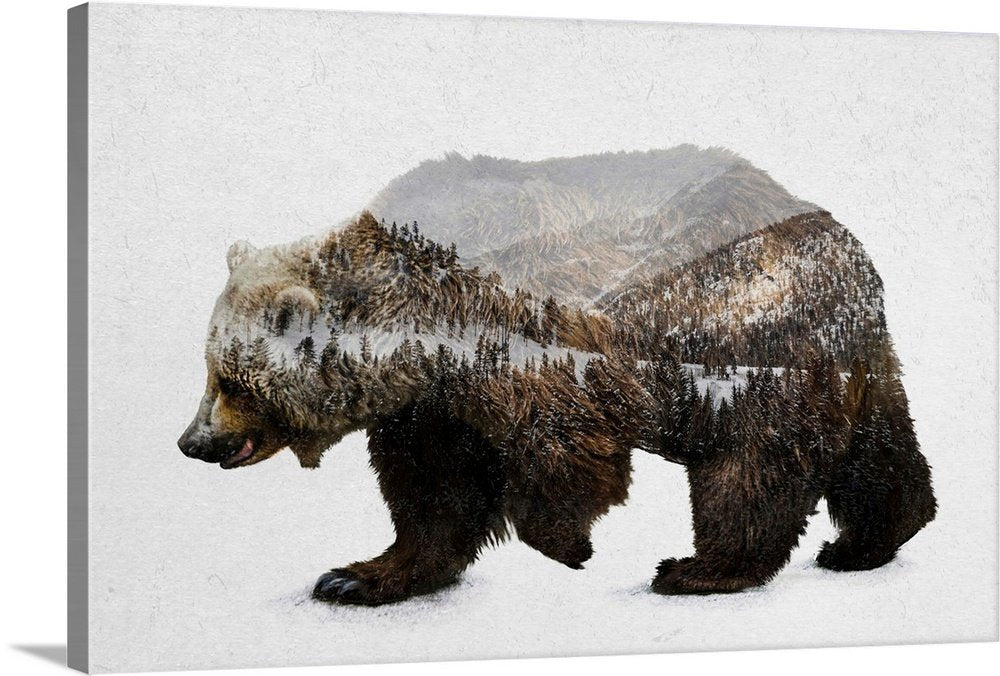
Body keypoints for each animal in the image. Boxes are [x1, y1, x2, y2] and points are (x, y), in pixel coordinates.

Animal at [178, 211, 936, 604]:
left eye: (232, 380)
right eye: (208, 371)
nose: (192, 441)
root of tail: (851, 252)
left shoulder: (532, 366)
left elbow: (565, 458)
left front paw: (570, 546)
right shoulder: (431, 410)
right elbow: (432, 497)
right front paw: (355, 575)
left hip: (753, 355)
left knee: (750, 471)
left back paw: (699, 569)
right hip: (854, 368)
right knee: (880, 453)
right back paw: (866, 543)